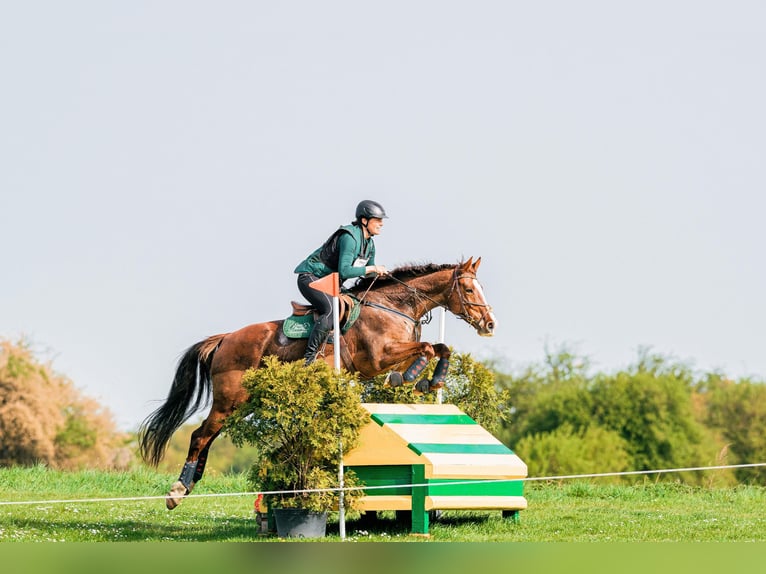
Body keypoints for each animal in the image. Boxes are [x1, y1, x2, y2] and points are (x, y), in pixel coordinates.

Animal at [138, 257, 496, 510]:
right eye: (469, 290)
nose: (489, 324)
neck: (395, 307)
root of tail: (226, 338)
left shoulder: (395, 353)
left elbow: (439, 348)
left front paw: (429, 381)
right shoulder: (378, 358)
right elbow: (424, 350)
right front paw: (408, 378)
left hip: (243, 403)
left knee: (208, 436)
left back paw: (189, 484)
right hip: (230, 399)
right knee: (200, 435)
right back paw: (177, 491)